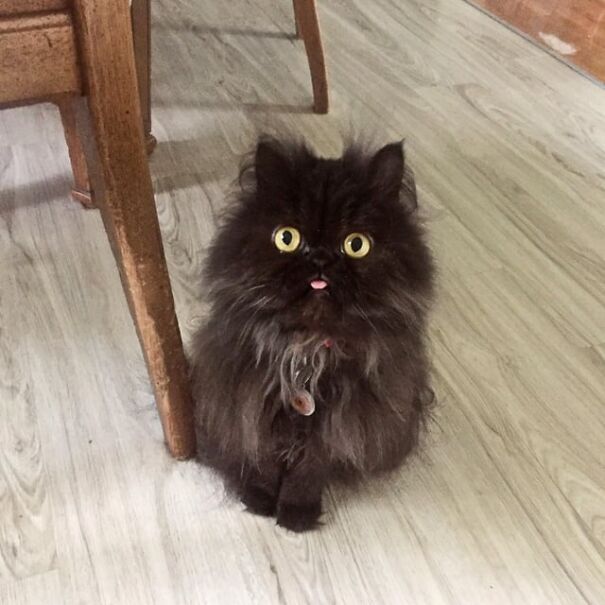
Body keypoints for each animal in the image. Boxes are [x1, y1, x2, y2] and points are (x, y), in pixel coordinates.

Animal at [191, 136, 432, 528]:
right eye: (287, 238)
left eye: (356, 244)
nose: (320, 258)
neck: (308, 347)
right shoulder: (252, 399)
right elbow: (263, 456)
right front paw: (259, 500)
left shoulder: (338, 421)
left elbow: (310, 468)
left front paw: (296, 515)